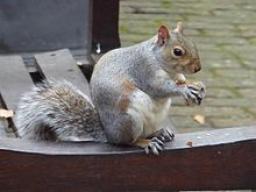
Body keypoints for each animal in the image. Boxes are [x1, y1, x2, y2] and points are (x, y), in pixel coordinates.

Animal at [14, 22, 206, 154]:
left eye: (194, 45)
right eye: (177, 52)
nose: (198, 68)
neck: (158, 59)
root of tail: (108, 134)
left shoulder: (175, 76)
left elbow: (180, 80)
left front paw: (197, 86)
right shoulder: (144, 70)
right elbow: (158, 88)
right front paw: (184, 90)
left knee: (147, 132)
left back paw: (160, 132)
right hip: (129, 121)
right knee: (127, 142)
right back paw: (145, 142)